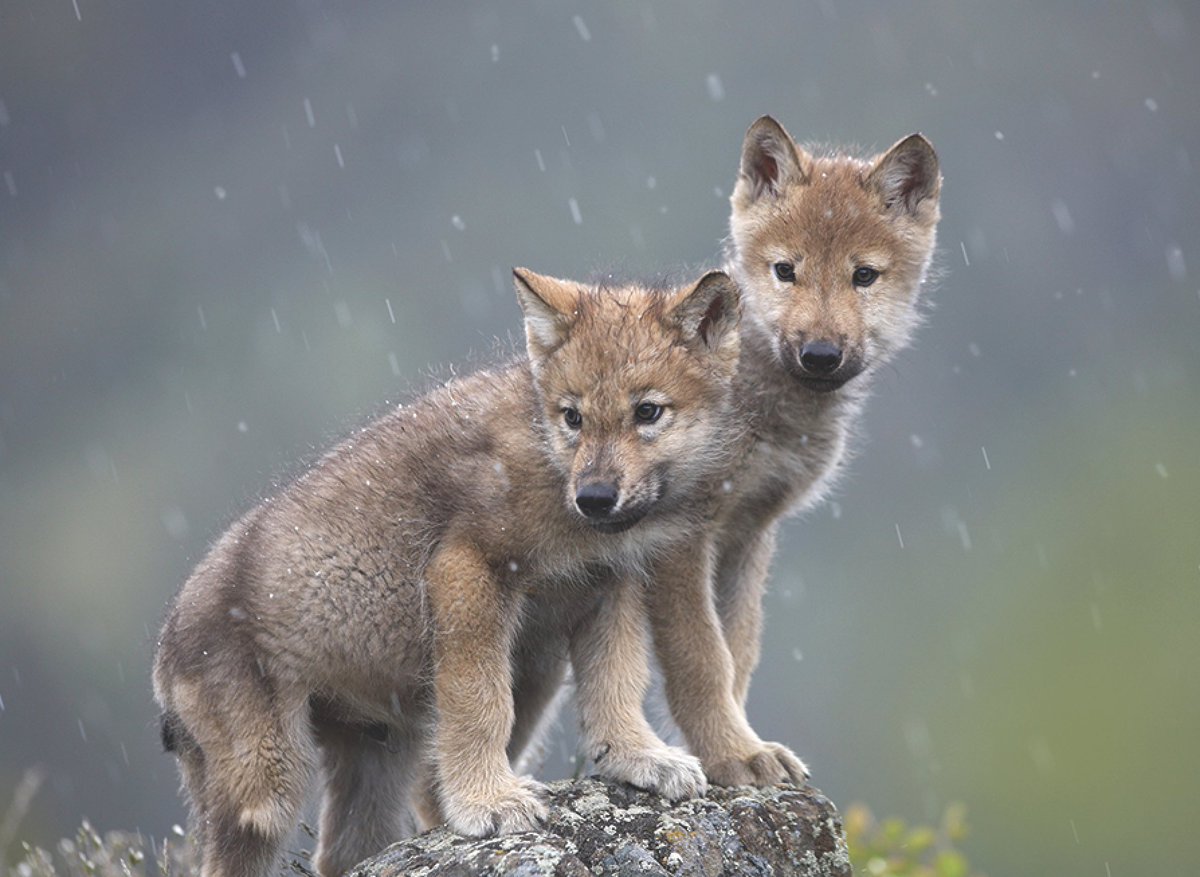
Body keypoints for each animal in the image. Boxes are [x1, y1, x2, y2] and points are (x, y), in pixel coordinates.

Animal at [153, 268, 743, 877]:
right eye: (572, 416)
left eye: (647, 412)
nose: (596, 498)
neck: (550, 467)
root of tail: (165, 649)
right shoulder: (467, 570)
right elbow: (480, 705)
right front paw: (491, 803)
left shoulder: (608, 589)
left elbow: (617, 687)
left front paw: (641, 759)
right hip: (266, 793)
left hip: (378, 758)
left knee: (344, 851)